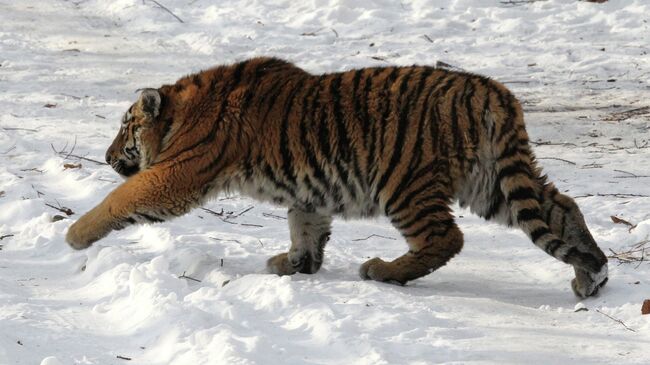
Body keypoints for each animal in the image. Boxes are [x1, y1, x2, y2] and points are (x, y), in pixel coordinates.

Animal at [66, 56, 608, 296]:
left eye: (124, 128)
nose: (106, 155)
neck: (181, 111)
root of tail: (494, 92)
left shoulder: (177, 174)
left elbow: (123, 197)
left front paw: (73, 235)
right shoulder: (309, 190)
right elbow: (306, 225)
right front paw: (295, 264)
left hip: (404, 181)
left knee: (445, 238)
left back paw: (384, 272)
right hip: (492, 182)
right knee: (563, 208)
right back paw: (591, 273)